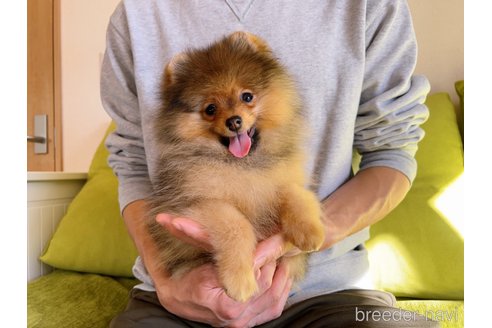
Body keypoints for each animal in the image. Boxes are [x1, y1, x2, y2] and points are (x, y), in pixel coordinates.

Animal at [146, 31, 324, 302]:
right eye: (210, 109)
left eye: (247, 96)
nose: (234, 121)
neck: (243, 165)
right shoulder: (195, 204)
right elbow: (236, 225)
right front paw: (239, 281)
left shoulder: (277, 181)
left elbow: (295, 193)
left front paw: (309, 229)